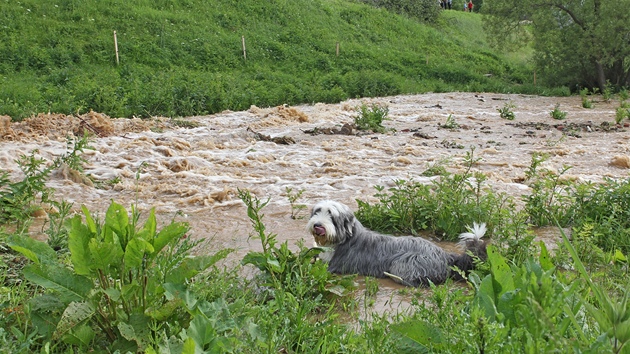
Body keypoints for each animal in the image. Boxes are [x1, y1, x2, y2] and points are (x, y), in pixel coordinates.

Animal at [308, 201, 492, 286]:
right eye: (317, 211)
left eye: (331, 215)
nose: (317, 225)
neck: (345, 237)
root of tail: (445, 255)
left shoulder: (336, 265)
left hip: (406, 263)